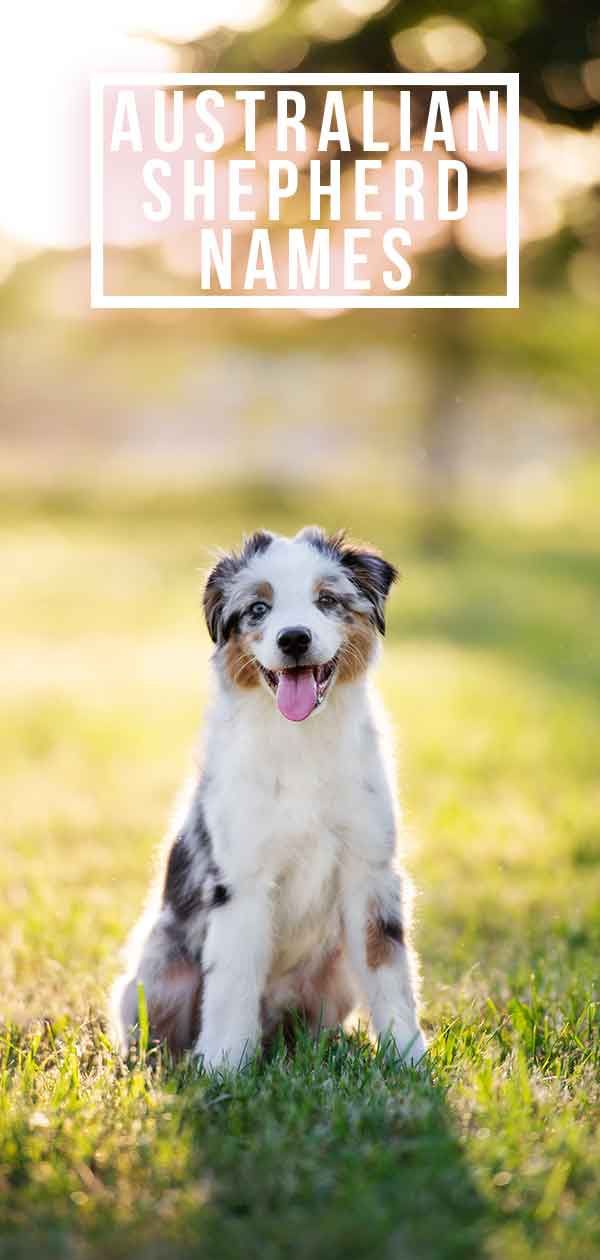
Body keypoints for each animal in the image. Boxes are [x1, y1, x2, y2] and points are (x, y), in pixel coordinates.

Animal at [111, 526, 426, 1068]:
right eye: (259, 608)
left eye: (326, 600)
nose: (294, 638)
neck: (300, 742)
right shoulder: (242, 881)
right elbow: (233, 980)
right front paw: (222, 1068)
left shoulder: (370, 872)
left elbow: (389, 971)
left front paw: (408, 1059)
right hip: (156, 979)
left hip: (334, 976)